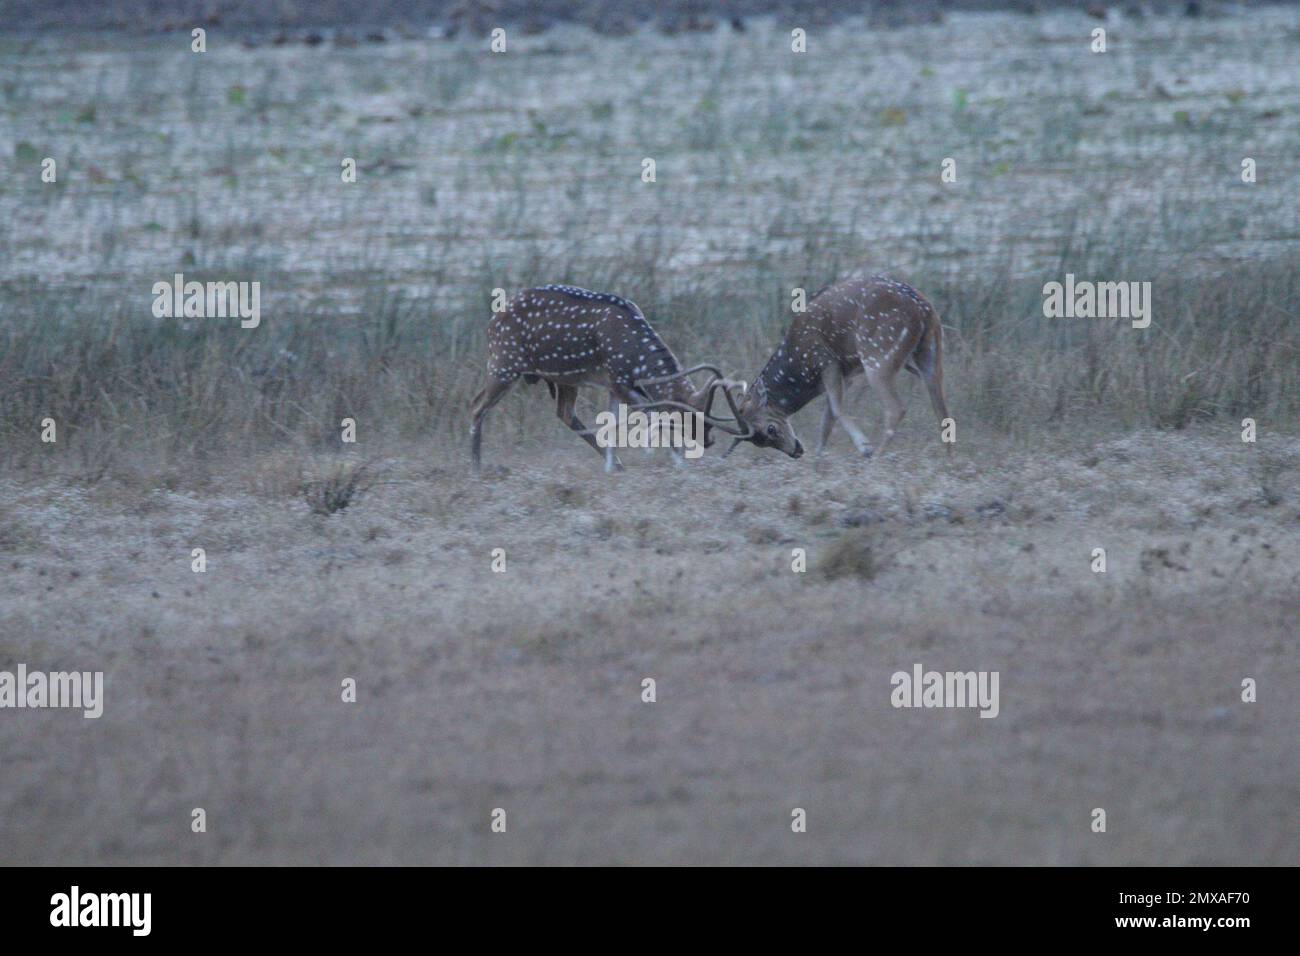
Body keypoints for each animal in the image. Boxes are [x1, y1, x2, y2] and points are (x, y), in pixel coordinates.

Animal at [469, 284, 750, 473]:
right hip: (504, 363)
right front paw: (679, 462)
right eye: (690, 416)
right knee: (476, 405)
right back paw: (476, 467)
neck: (636, 358)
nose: (709, 440)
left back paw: (618, 464)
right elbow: (652, 412)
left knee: (565, 413)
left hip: (563, 378)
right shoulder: (617, 379)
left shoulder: (612, 384)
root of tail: (490, 324)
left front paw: (611, 466)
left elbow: (613, 421)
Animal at [723, 275, 952, 461]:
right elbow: (827, 418)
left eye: (770, 429)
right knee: (941, 407)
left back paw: (876, 456)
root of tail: (924, 309)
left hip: (878, 355)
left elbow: (835, 408)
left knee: (897, 407)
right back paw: (948, 457)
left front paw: (864, 447)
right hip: (929, 354)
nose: (796, 452)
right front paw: (818, 457)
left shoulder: (827, 361)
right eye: (759, 442)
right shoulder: (847, 373)